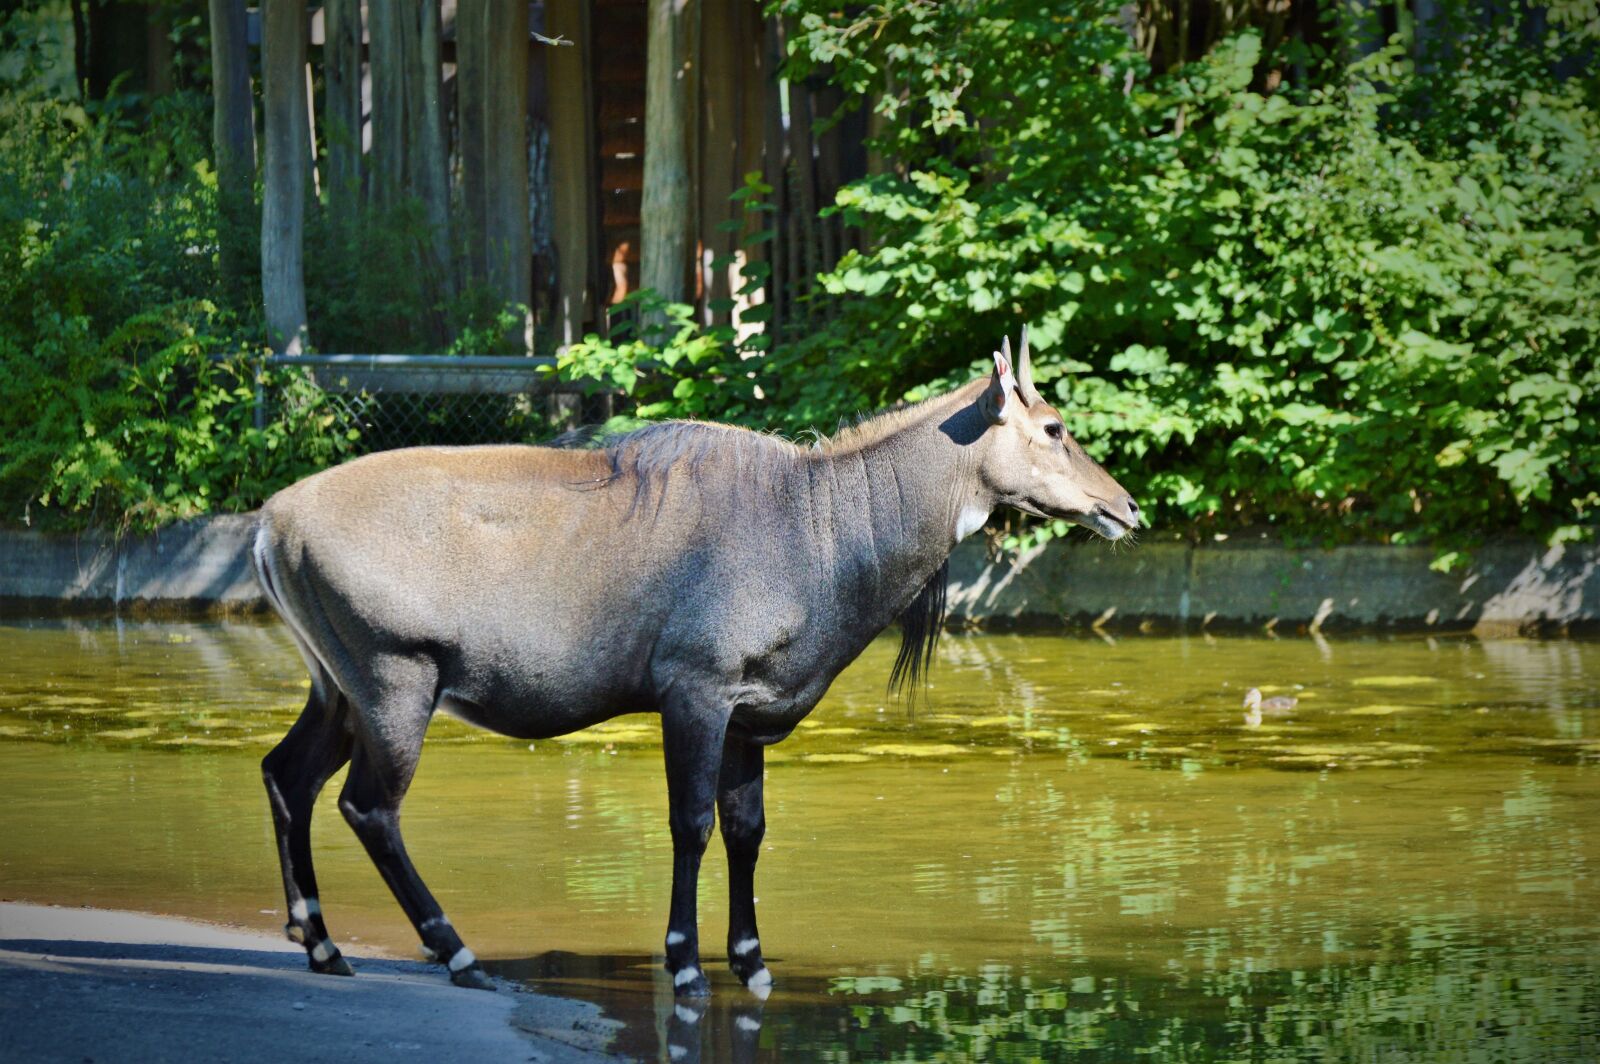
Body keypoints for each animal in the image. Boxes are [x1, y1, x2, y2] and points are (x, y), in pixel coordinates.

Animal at [253, 328, 1139, 996]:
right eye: (1054, 427)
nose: (1125, 507)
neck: (822, 529)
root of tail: (269, 522)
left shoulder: (751, 712)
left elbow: (748, 829)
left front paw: (750, 961)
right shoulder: (696, 693)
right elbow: (693, 824)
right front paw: (684, 962)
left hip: (337, 689)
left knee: (286, 773)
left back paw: (323, 944)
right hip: (396, 681)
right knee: (368, 808)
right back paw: (455, 951)